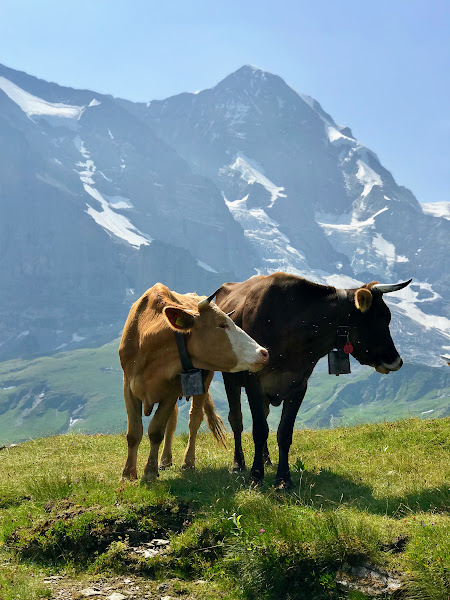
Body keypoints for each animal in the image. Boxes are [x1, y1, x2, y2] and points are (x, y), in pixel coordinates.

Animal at [214, 272, 412, 488]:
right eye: (379, 318)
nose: (397, 361)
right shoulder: (254, 383)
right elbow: (259, 430)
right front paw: (256, 476)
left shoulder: (299, 384)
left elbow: (284, 433)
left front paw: (283, 479)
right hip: (230, 379)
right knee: (236, 420)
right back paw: (238, 464)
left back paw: (267, 459)